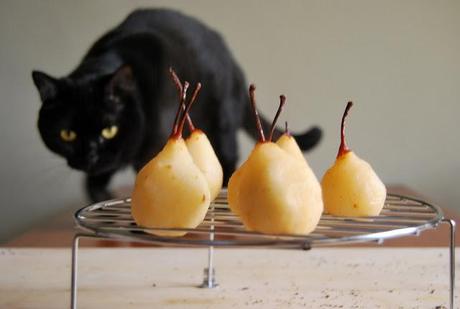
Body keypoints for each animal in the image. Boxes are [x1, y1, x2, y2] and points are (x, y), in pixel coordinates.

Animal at [32, 8, 322, 201]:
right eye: (67, 134)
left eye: (109, 130)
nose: (90, 154)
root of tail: (236, 69)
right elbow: (96, 183)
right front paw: (101, 194)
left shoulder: (148, 145)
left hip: (222, 121)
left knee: (228, 158)